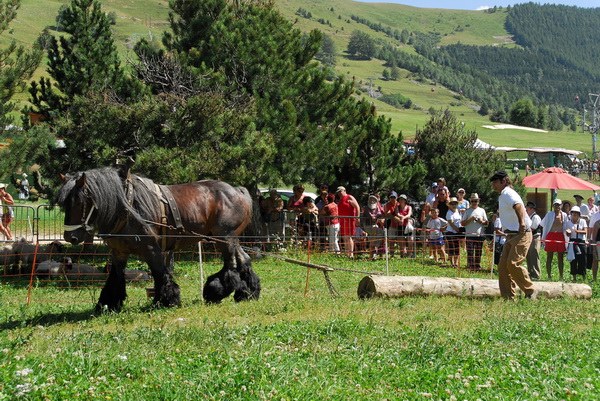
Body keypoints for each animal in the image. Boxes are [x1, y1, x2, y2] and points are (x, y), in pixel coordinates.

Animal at [56, 166, 260, 310]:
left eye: (80, 202)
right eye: (64, 204)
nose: (70, 237)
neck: (128, 208)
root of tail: (237, 190)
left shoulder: (151, 249)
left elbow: (160, 273)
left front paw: (167, 300)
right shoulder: (119, 252)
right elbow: (115, 277)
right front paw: (108, 303)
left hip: (224, 238)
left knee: (230, 266)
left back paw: (216, 292)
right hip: (231, 239)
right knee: (244, 260)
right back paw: (247, 292)